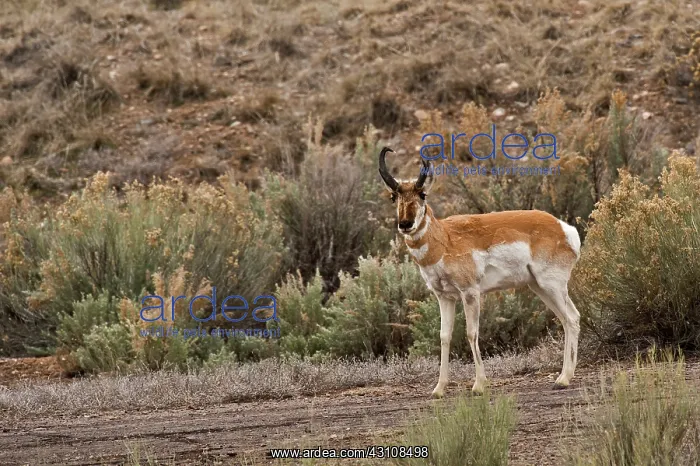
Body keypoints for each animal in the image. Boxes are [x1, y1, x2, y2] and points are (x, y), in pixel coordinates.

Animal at [378, 147, 581, 397]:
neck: (445, 238)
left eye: (423, 194)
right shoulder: (444, 297)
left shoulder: (470, 293)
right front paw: (439, 389)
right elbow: (444, 336)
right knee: (566, 319)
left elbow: (471, 333)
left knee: (572, 318)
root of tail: (564, 228)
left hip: (552, 286)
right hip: (539, 288)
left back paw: (563, 379)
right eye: (393, 197)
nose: (405, 224)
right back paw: (562, 377)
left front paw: (479, 385)